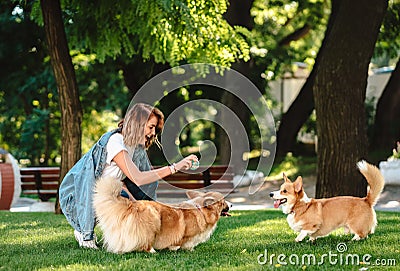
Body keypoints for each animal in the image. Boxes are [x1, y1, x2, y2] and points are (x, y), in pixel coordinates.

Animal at [93, 178, 230, 255]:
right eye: (223, 203)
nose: (232, 205)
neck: (201, 210)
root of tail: (132, 205)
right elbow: (180, 242)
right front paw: (180, 249)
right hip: (152, 222)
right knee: (145, 244)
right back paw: (153, 252)